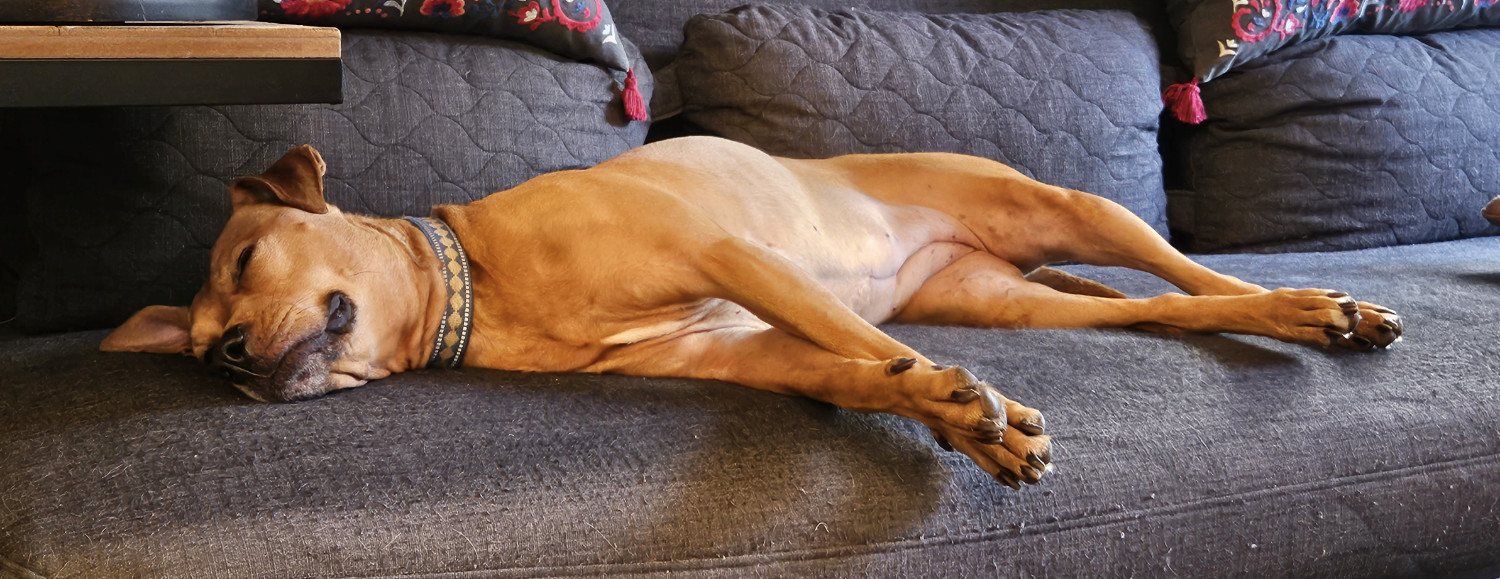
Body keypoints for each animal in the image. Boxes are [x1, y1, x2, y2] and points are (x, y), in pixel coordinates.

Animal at [99, 136, 1398, 489]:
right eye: (200, 353)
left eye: (248, 253)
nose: (227, 356)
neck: (484, 280)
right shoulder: (736, 348)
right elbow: (847, 368)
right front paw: (942, 408)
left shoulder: (728, 253)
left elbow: (865, 342)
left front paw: (962, 410)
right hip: (1013, 301)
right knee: (1155, 315)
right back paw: (1297, 320)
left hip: (1069, 209)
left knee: (1197, 278)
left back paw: (1311, 304)